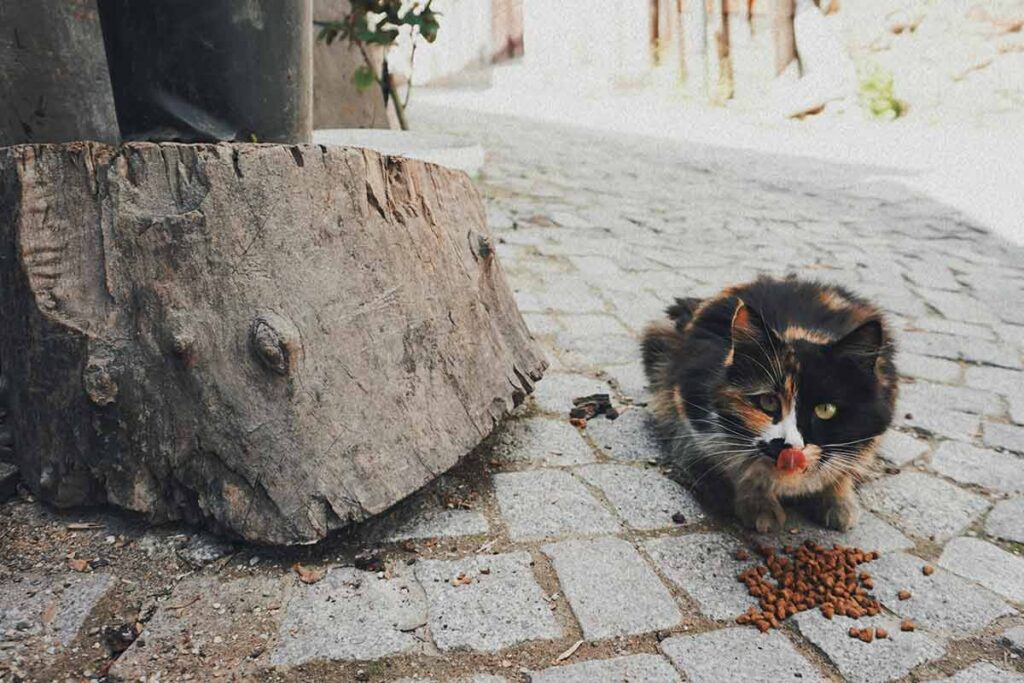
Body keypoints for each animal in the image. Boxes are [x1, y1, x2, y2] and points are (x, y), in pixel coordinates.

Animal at [638, 274, 897, 532]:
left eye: (825, 410)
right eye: (768, 402)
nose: (790, 448)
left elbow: (845, 468)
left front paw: (839, 505)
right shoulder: (693, 413)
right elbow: (738, 466)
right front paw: (760, 507)